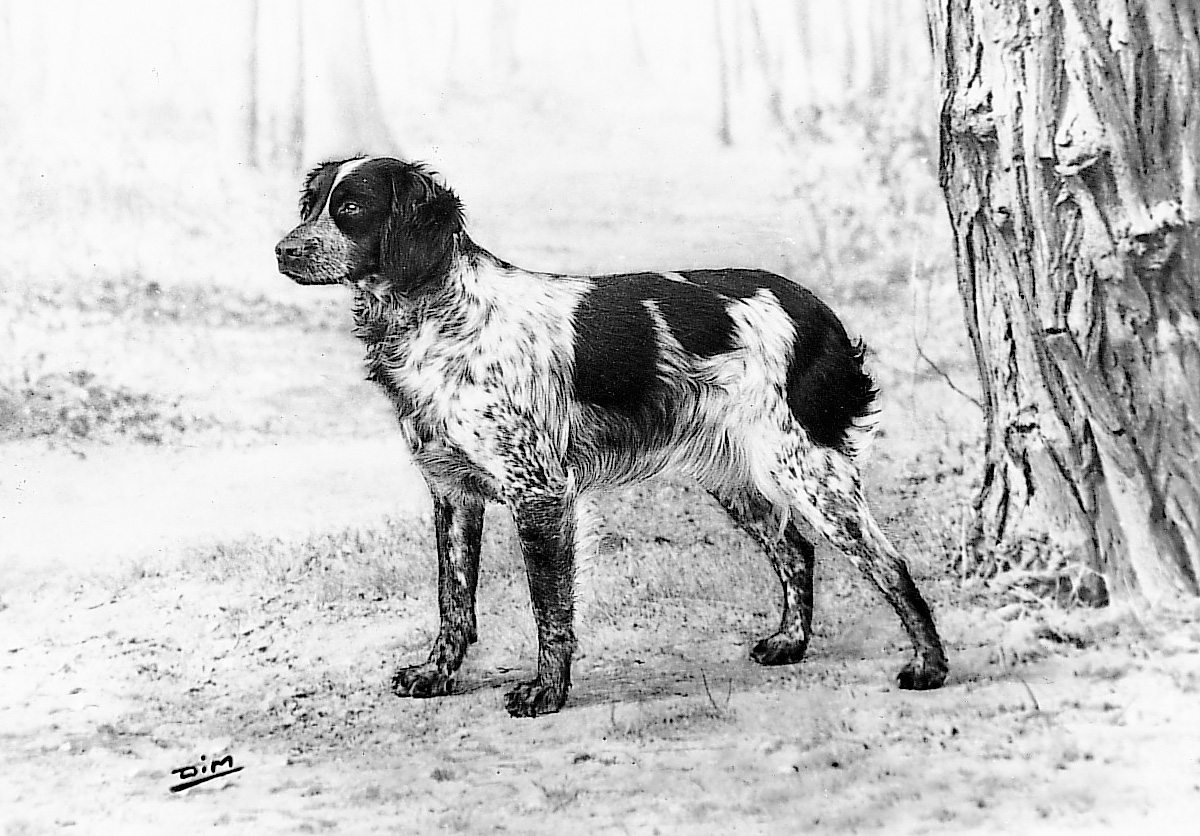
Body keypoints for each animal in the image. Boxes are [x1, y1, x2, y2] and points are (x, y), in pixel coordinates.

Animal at [274, 158, 945, 719]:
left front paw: (546, 694)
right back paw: (790, 643)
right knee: (797, 551)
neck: (438, 318)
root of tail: (817, 311)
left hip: (805, 469)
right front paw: (437, 675)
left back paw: (929, 667)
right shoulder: (454, 493)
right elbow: (453, 597)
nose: (283, 250)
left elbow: (549, 609)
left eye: (351, 207)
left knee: (890, 563)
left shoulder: (539, 493)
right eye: (311, 205)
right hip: (738, 478)